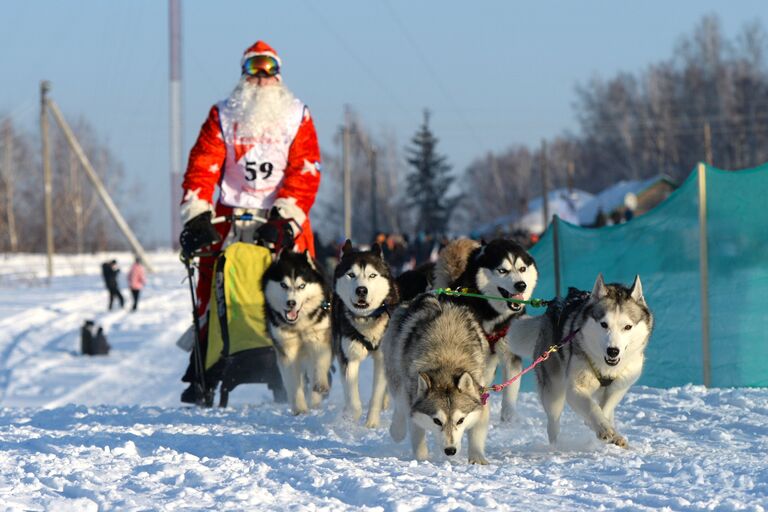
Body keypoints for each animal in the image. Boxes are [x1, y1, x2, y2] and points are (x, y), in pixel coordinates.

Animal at [262, 250, 332, 414]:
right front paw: (300, 409)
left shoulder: (319, 340)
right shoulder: (288, 350)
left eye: (302, 286)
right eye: (283, 285)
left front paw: (319, 387)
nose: (291, 303)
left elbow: (319, 365)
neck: (299, 326)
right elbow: (293, 383)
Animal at [332, 240, 400, 428]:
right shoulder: (349, 357)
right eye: (351, 275)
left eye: (372, 275)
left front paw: (372, 422)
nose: (361, 290)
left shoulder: (382, 359)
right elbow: (353, 396)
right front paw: (351, 419)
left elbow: (376, 394)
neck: (366, 319)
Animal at [384, 292, 492, 464]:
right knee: (400, 405)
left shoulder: (481, 397)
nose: (450, 450)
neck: (446, 358)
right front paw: (422, 459)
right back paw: (397, 431)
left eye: (460, 420)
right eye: (437, 421)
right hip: (397, 377)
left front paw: (477, 459)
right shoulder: (413, 401)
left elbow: (476, 433)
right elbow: (417, 434)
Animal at [432, 238, 540, 422]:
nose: (521, 285)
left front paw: (509, 419)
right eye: (502, 270)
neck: (491, 312)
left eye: (522, 269)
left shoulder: (510, 354)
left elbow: (510, 391)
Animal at [536, 274, 656, 446]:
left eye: (627, 327)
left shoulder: (619, 387)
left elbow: (605, 407)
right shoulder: (575, 388)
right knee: (553, 422)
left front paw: (609, 430)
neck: (607, 368)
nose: (613, 351)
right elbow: (592, 407)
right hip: (553, 390)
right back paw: (555, 444)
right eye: (604, 324)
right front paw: (603, 429)